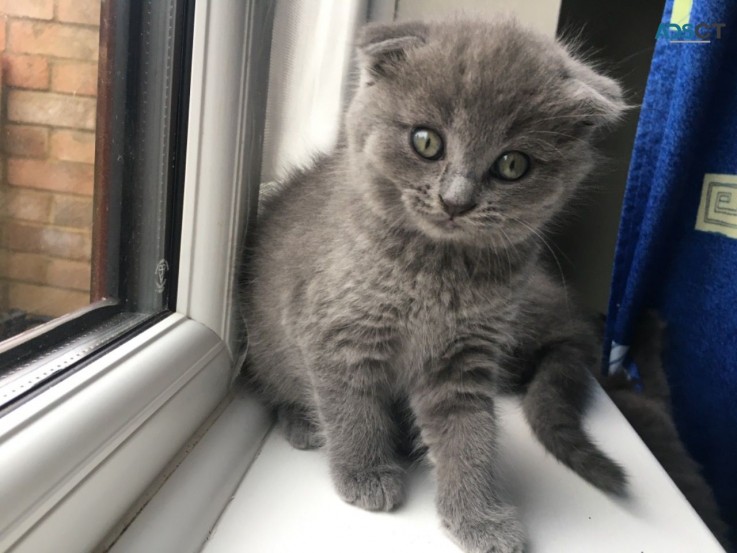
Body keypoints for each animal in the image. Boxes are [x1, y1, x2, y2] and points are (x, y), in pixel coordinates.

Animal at [242, 18, 628, 552]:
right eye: (426, 141)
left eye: (513, 165)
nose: (456, 200)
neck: (437, 272)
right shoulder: (336, 332)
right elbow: (349, 406)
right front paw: (364, 472)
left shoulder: (464, 357)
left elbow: (470, 434)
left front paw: (479, 516)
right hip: (266, 347)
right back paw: (303, 422)